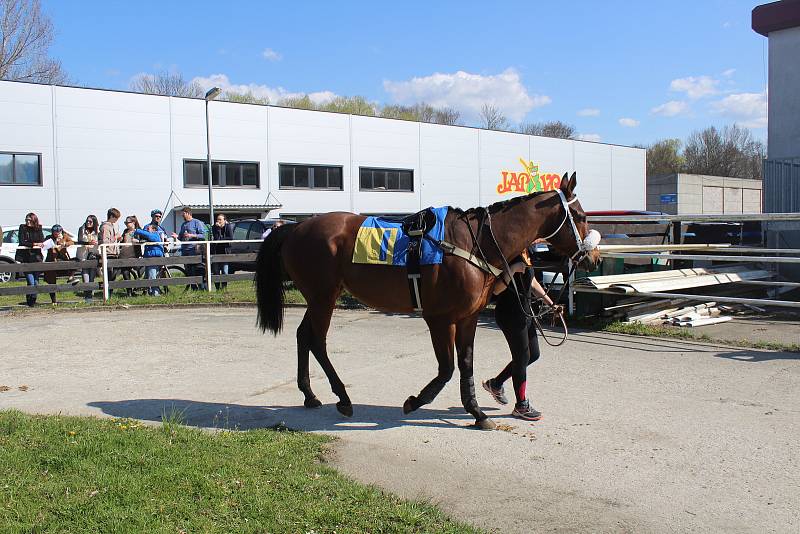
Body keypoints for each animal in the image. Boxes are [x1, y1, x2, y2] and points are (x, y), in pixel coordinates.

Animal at [256, 173, 600, 432]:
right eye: (581, 216)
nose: (593, 257)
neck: (474, 244)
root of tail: (296, 227)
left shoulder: (467, 317)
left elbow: (465, 364)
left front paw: (477, 413)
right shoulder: (439, 318)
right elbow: (447, 368)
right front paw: (415, 402)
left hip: (317, 297)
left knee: (304, 335)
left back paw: (309, 395)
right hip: (323, 296)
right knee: (317, 341)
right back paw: (342, 398)